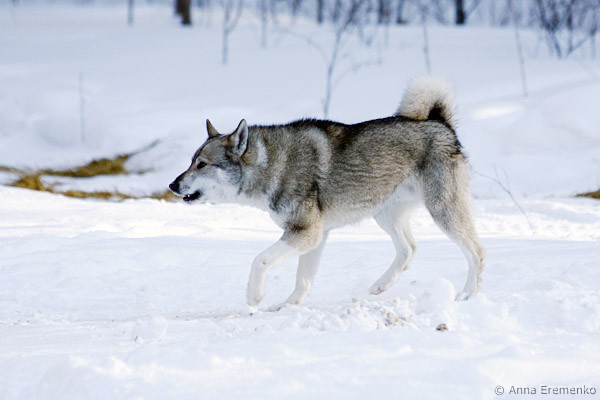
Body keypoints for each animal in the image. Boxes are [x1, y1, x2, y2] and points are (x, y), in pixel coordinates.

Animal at [169, 76, 485, 310]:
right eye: (190, 161)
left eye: (201, 164)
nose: (172, 185)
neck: (272, 164)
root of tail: (441, 123)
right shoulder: (315, 236)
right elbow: (303, 281)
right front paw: (287, 307)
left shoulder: (305, 233)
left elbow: (260, 260)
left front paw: (254, 297)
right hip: (385, 214)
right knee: (409, 249)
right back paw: (380, 286)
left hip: (442, 211)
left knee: (476, 251)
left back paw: (468, 295)